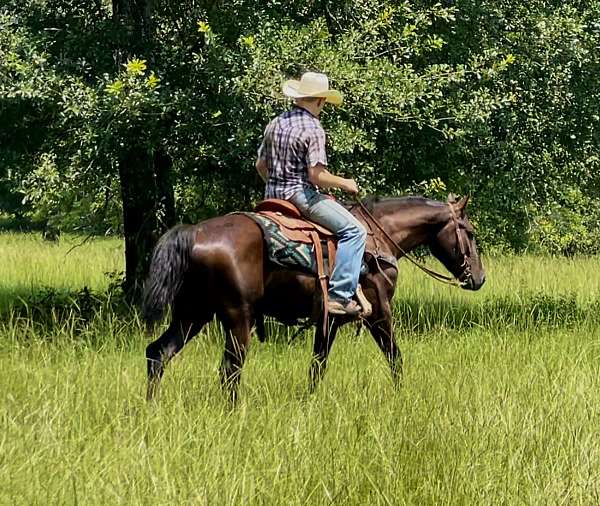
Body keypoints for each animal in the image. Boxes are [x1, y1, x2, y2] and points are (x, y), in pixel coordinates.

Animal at [143, 194, 486, 404]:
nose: (479, 278)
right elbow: (395, 357)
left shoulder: (329, 320)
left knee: (158, 353)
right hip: (236, 317)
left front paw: (309, 401)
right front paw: (402, 396)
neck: (378, 237)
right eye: (470, 232)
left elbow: (317, 366)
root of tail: (193, 233)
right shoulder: (379, 312)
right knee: (230, 369)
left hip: (192, 314)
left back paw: (151, 408)